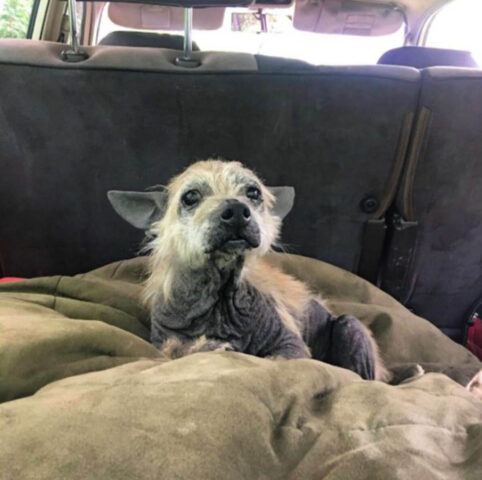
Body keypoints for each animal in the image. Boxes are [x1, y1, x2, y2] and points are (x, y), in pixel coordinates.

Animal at [108, 159, 388, 380]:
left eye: (253, 192)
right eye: (190, 197)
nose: (236, 210)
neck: (220, 298)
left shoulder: (290, 344)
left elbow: (278, 360)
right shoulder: (163, 343)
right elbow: (179, 350)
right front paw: (209, 347)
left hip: (350, 327)